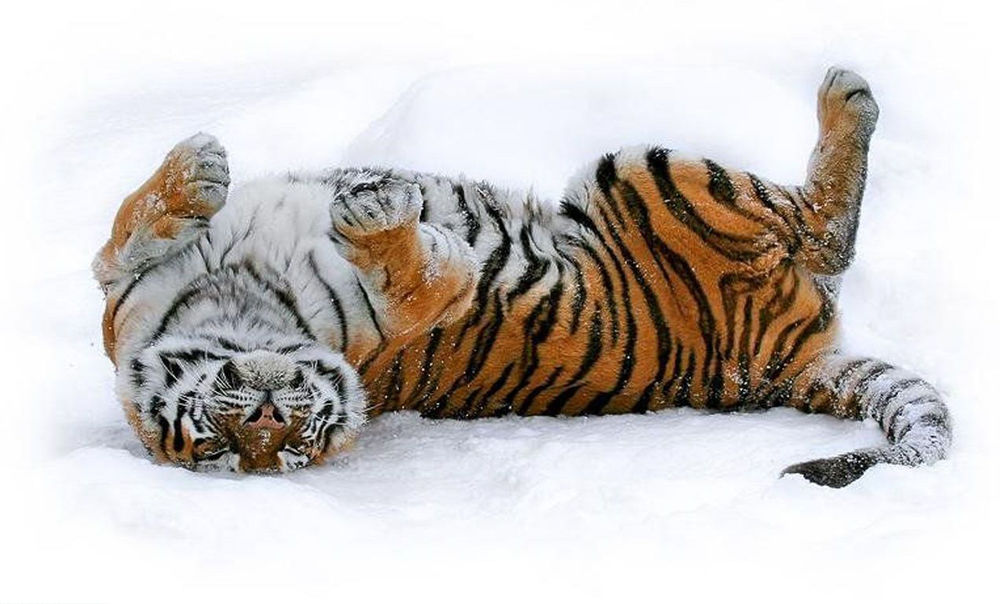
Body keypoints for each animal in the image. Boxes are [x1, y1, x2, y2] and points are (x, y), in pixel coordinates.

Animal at [93, 67, 950, 487]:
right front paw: (377, 214)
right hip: (649, 177)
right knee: (822, 230)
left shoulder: (125, 298)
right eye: (224, 450)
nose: (272, 420)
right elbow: (431, 275)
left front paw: (196, 171)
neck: (238, 305)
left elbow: (121, 237)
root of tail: (782, 369)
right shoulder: (412, 309)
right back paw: (848, 91)